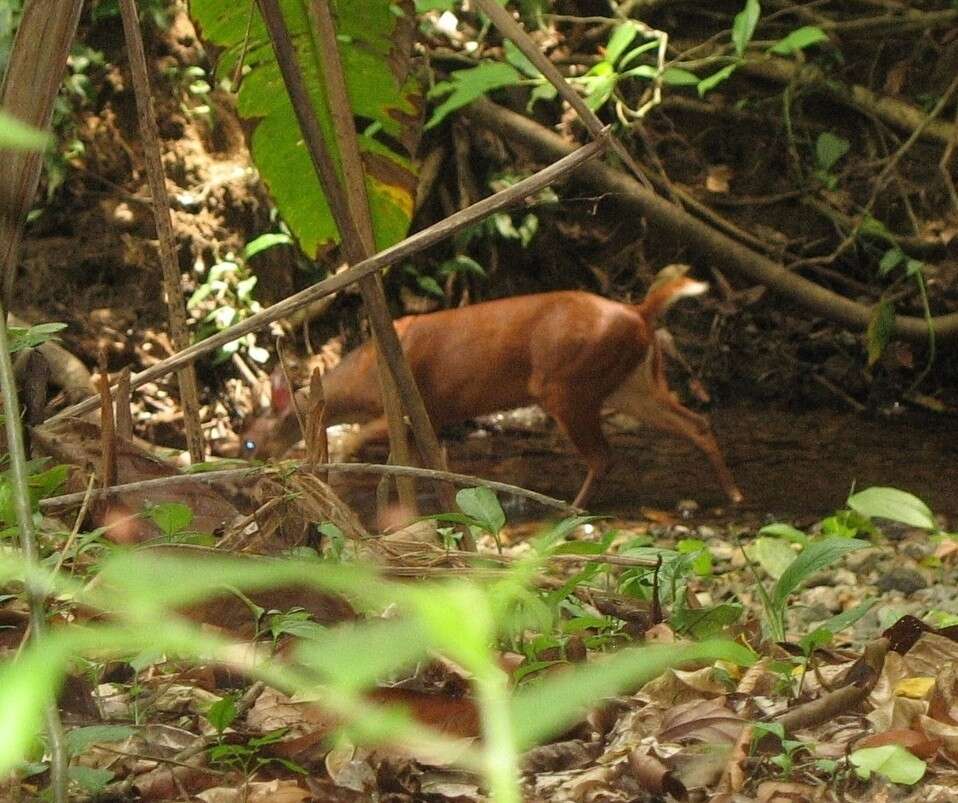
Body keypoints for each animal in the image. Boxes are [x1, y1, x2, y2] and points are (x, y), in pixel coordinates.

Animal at [244, 272, 748, 508]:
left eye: (248, 441)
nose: (247, 474)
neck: (360, 376)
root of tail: (640, 313)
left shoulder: (405, 405)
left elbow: (358, 439)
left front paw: (341, 472)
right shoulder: (432, 414)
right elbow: (425, 463)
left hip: (566, 384)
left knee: (604, 456)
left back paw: (569, 509)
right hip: (634, 381)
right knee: (697, 422)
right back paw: (733, 493)